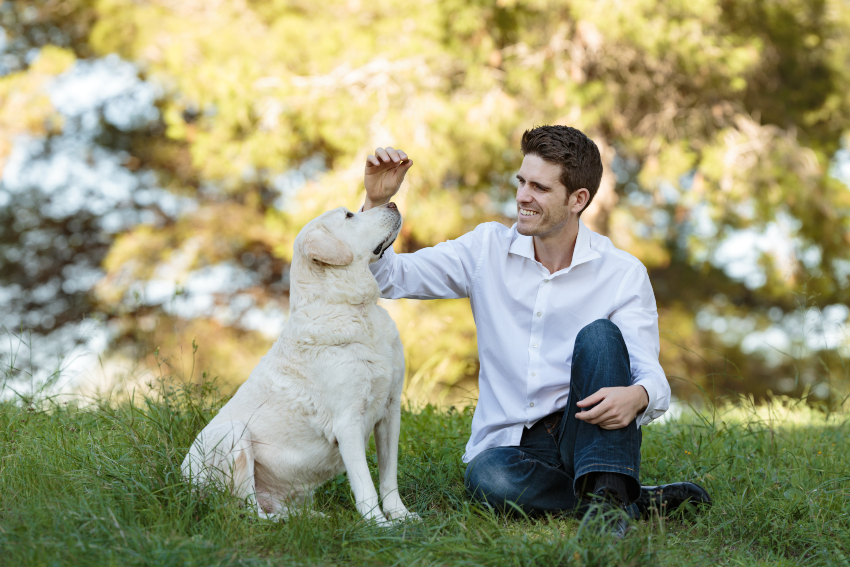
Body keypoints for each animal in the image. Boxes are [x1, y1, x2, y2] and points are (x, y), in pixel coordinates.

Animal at [182, 202, 418, 524]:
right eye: (349, 215)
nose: (392, 203)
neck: (356, 310)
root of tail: (182, 482)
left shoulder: (391, 411)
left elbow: (388, 477)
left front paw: (401, 515)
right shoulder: (348, 422)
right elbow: (366, 485)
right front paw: (379, 525)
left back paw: (311, 518)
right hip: (233, 435)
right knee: (249, 510)